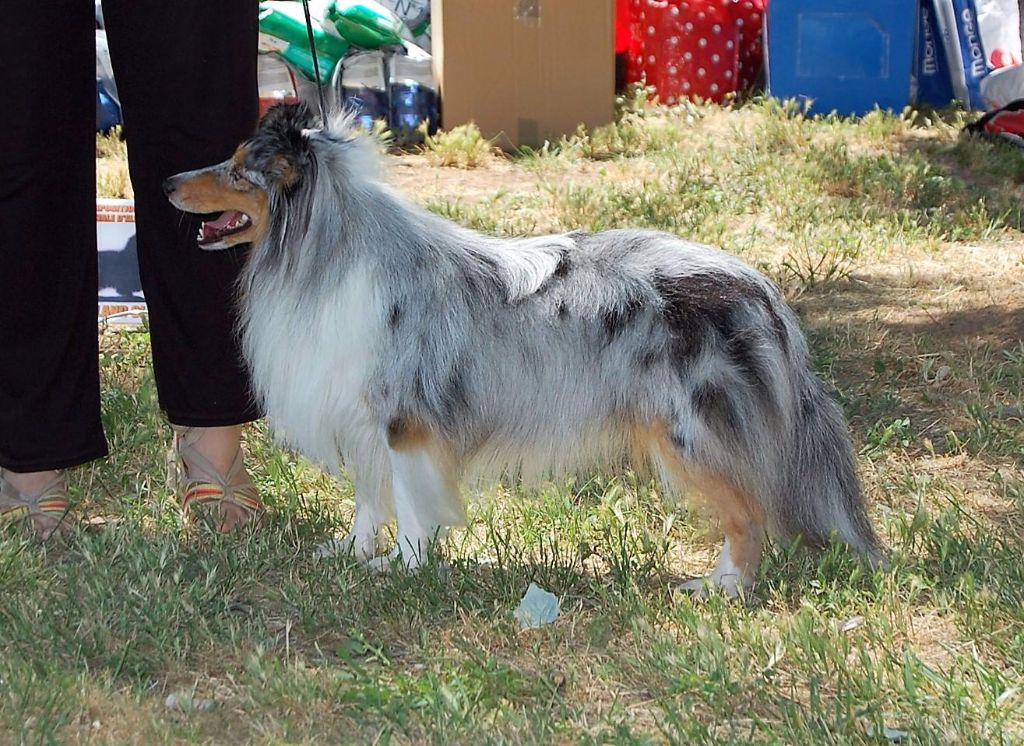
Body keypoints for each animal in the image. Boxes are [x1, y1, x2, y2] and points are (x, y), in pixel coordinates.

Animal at [163, 103, 884, 593]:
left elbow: (414, 503)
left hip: (690, 431)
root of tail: (763, 291)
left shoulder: (406, 423)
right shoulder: (362, 418)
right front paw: (354, 554)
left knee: (750, 512)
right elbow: (370, 500)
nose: (167, 182)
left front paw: (406, 567)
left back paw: (720, 588)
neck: (321, 250)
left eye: (238, 170)